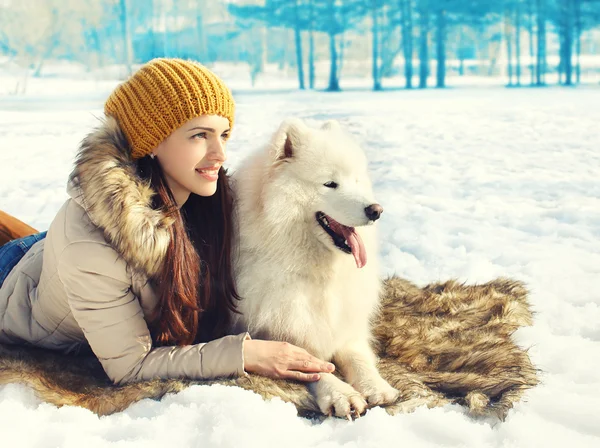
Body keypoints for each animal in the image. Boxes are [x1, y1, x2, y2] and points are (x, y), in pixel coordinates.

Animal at [230, 118, 398, 416]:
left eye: (356, 181)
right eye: (330, 184)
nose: (376, 210)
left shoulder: (346, 323)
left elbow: (358, 357)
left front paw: (376, 386)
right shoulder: (277, 329)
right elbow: (313, 365)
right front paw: (341, 393)